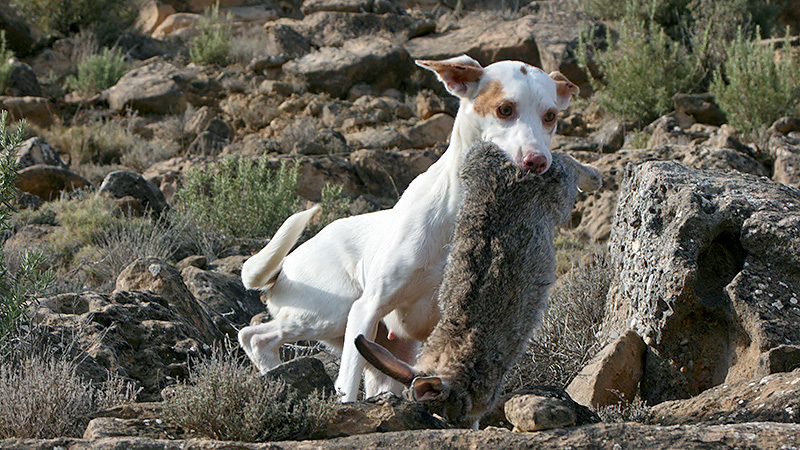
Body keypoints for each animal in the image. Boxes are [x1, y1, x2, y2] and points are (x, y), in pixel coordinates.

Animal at [238, 54, 580, 402]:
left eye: (550, 116)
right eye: (505, 109)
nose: (537, 161)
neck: (457, 216)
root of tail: (284, 266)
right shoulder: (366, 309)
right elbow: (347, 384)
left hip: (382, 351)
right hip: (333, 313)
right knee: (253, 335)